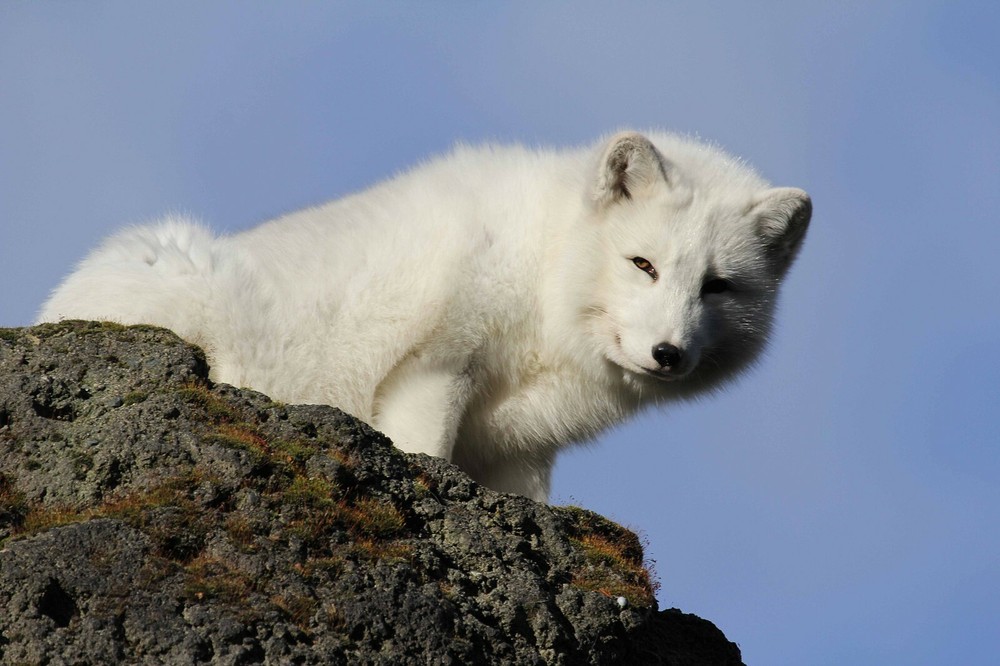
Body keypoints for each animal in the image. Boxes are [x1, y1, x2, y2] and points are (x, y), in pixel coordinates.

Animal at [38, 131, 811, 502]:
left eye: (718, 287)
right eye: (642, 264)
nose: (667, 354)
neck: (539, 273)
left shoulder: (522, 448)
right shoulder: (435, 366)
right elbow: (424, 451)